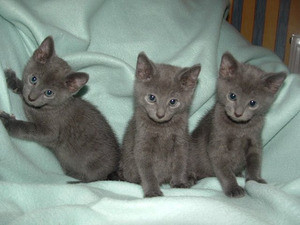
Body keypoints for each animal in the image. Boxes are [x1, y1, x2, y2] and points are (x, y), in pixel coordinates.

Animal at [0, 35, 119, 183]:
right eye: (33, 79)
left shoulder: (51, 131)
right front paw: (12, 80)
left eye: (49, 93)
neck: (45, 108)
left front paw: (7, 122)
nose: (31, 98)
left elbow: (28, 128)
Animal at [118, 51, 200, 198]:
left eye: (173, 101)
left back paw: (190, 178)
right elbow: (147, 170)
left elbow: (180, 162)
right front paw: (152, 191)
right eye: (152, 98)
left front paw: (179, 182)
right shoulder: (142, 141)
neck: (163, 128)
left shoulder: (181, 140)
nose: (160, 114)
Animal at [190, 52, 286, 197]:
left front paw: (255, 180)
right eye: (232, 96)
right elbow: (224, 169)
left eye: (253, 103)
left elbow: (255, 161)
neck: (240, 128)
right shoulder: (217, 143)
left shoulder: (255, 140)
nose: (238, 113)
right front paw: (233, 188)